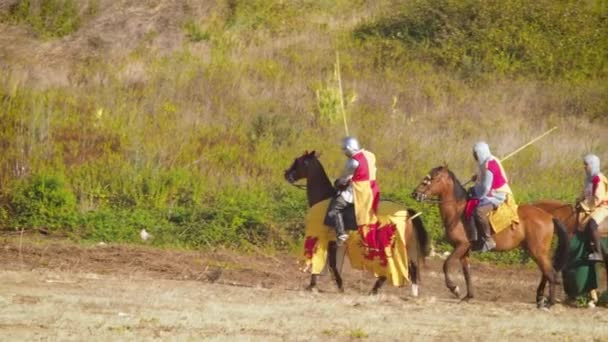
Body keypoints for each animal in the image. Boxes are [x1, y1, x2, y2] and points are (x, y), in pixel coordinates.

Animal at [284, 151, 430, 296]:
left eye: (298, 161)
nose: (286, 174)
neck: (324, 198)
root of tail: (406, 212)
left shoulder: (325, 241)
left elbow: (328, 264)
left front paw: (331, 285)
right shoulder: (335, 244)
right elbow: (331, 264)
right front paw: (320, 285)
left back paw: (375, 290)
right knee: (410, 266)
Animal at [410, 166, 572, 308]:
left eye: (431, 178)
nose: (415, 194)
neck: (458, 212)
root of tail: (549, 216)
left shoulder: (461, 246)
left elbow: (446, 264)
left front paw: (454, 288)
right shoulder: (465, 250)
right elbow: (467, 272)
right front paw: (468, 296)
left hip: (537, 251)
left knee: (550, 273)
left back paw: (549, 303)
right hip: (536, 251)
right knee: (547, 272)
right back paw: (540, 299)